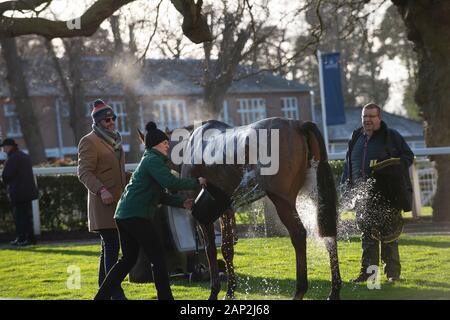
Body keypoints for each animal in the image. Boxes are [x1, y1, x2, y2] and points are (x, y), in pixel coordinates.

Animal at [141, 117, 342, 300]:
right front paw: (230, 291)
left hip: (282, 201)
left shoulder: (202, 213)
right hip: (316, 195)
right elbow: (227, 248)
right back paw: (334, 291)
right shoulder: (225, 208)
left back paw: (300, 290)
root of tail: (298, 125)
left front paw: (215, 291)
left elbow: (211, 249)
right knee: (328, 233)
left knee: (299, 235)